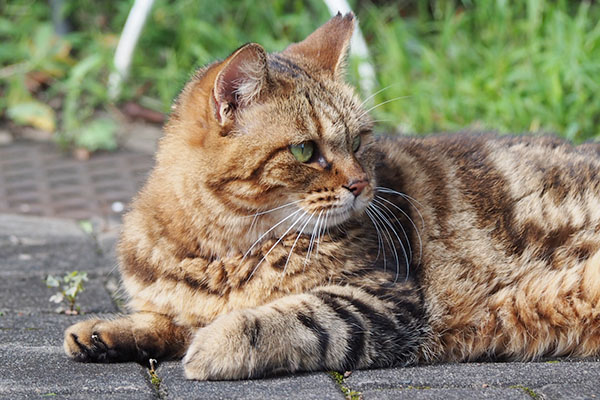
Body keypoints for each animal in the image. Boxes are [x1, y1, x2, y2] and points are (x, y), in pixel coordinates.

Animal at [64, 12, 600, 380]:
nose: (362, 184)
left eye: (358, 141)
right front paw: (105, 332)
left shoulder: (385, 301)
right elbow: (163, 317)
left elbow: (285, 319)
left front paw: (215, 344)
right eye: (306, 149)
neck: (224, 250)